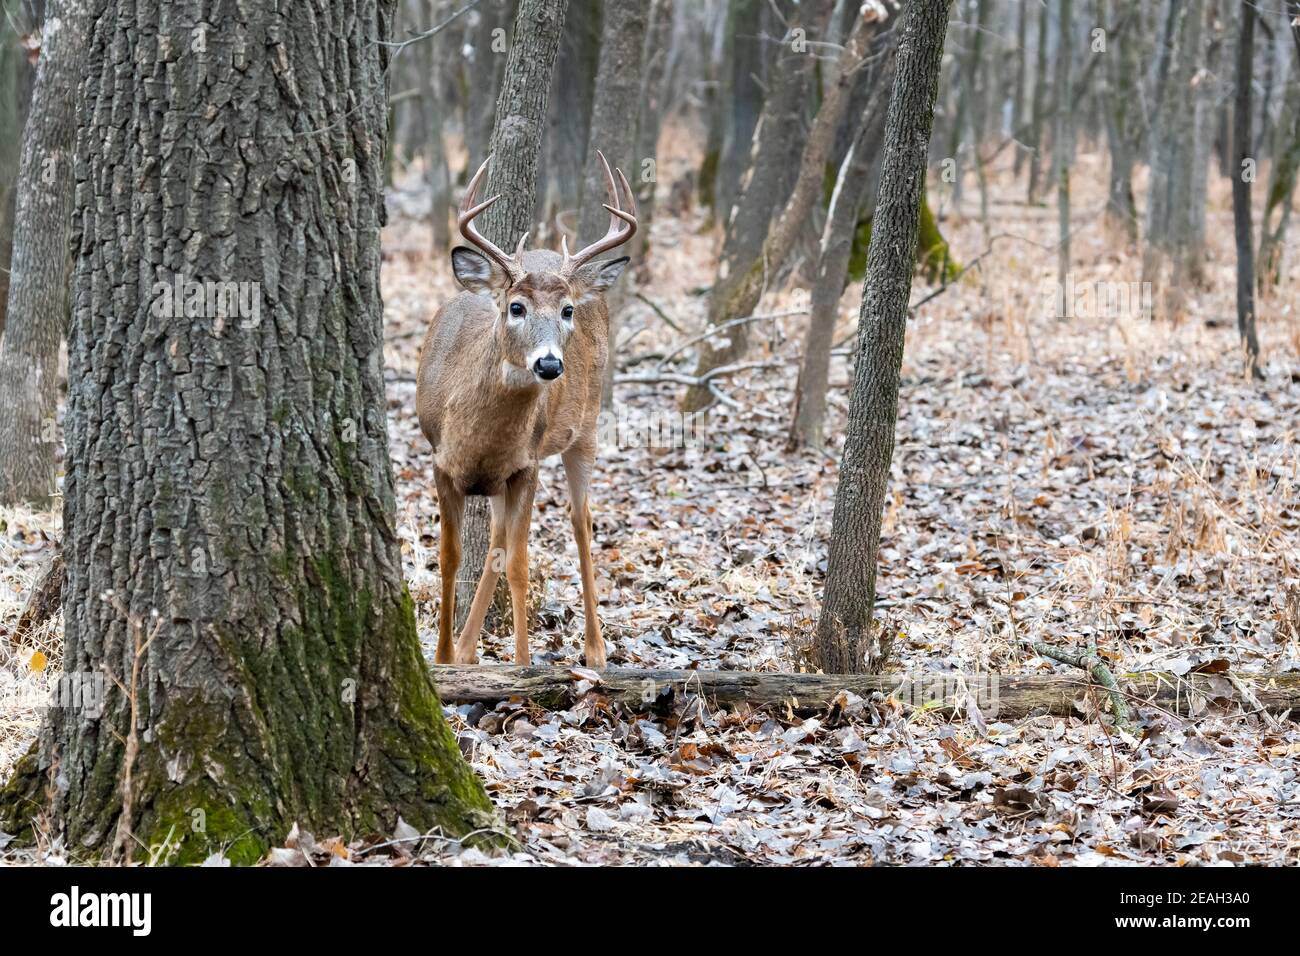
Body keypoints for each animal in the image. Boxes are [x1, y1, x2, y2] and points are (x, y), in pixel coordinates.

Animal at [417, 152, 637, 670]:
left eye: (567, 310)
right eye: (516, 307)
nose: (550, 364)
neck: (474, 433)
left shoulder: (527, 464)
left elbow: (519, 563)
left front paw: (521, 666)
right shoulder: (441, 462)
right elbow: (452, 557)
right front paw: (444, 657)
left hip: (586, 427)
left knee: (581, 521)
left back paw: (596, 649)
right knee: (496, 538)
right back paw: (467, 649)